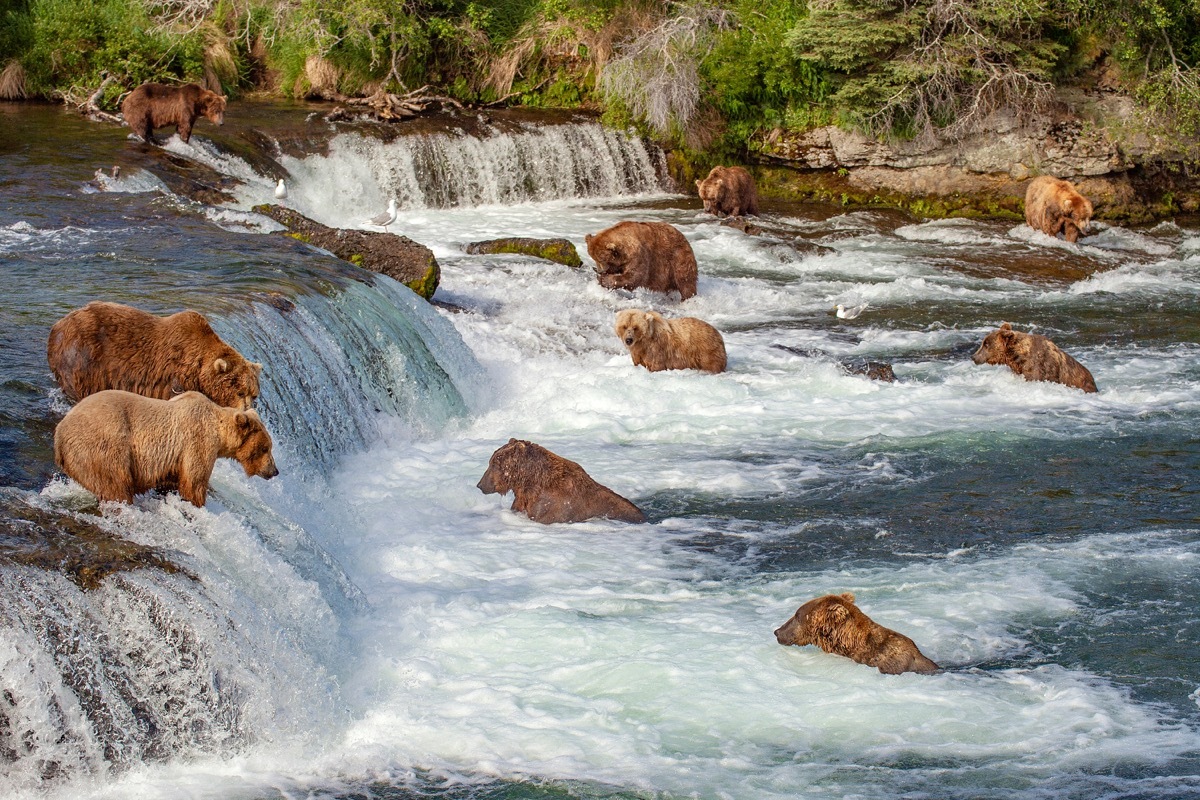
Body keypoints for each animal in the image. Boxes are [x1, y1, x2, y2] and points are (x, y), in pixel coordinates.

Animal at [48, 301, 263, 410]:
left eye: (253, 394)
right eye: (240, 392)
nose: (247, 408)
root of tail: (58, 324)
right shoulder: (172, 379)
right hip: (84, 359)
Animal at [53, 390, 278, 508]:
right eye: (266, 448)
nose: (274, 471)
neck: (219, 430)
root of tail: (58, 434)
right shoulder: (197, 442)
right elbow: (194, 482)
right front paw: (196, 502)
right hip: (104, 446)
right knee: (115, 483)